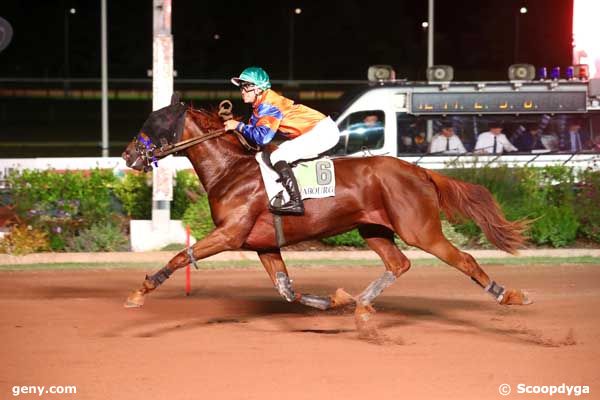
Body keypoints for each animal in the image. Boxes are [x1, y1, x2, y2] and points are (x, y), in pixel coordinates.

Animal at [120, 97, 528, 324]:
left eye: (153, 123)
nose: (127, 155)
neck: (230, 170)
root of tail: (419, 171)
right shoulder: (264, 245)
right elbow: (286, 289)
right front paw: (335, 299)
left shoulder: (230, 234)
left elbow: (180, 257)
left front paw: (139, 292)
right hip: (373, 230)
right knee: (398, 264)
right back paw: (361, 304)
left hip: (420, 230)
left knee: (465, 260)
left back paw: (508, 295)